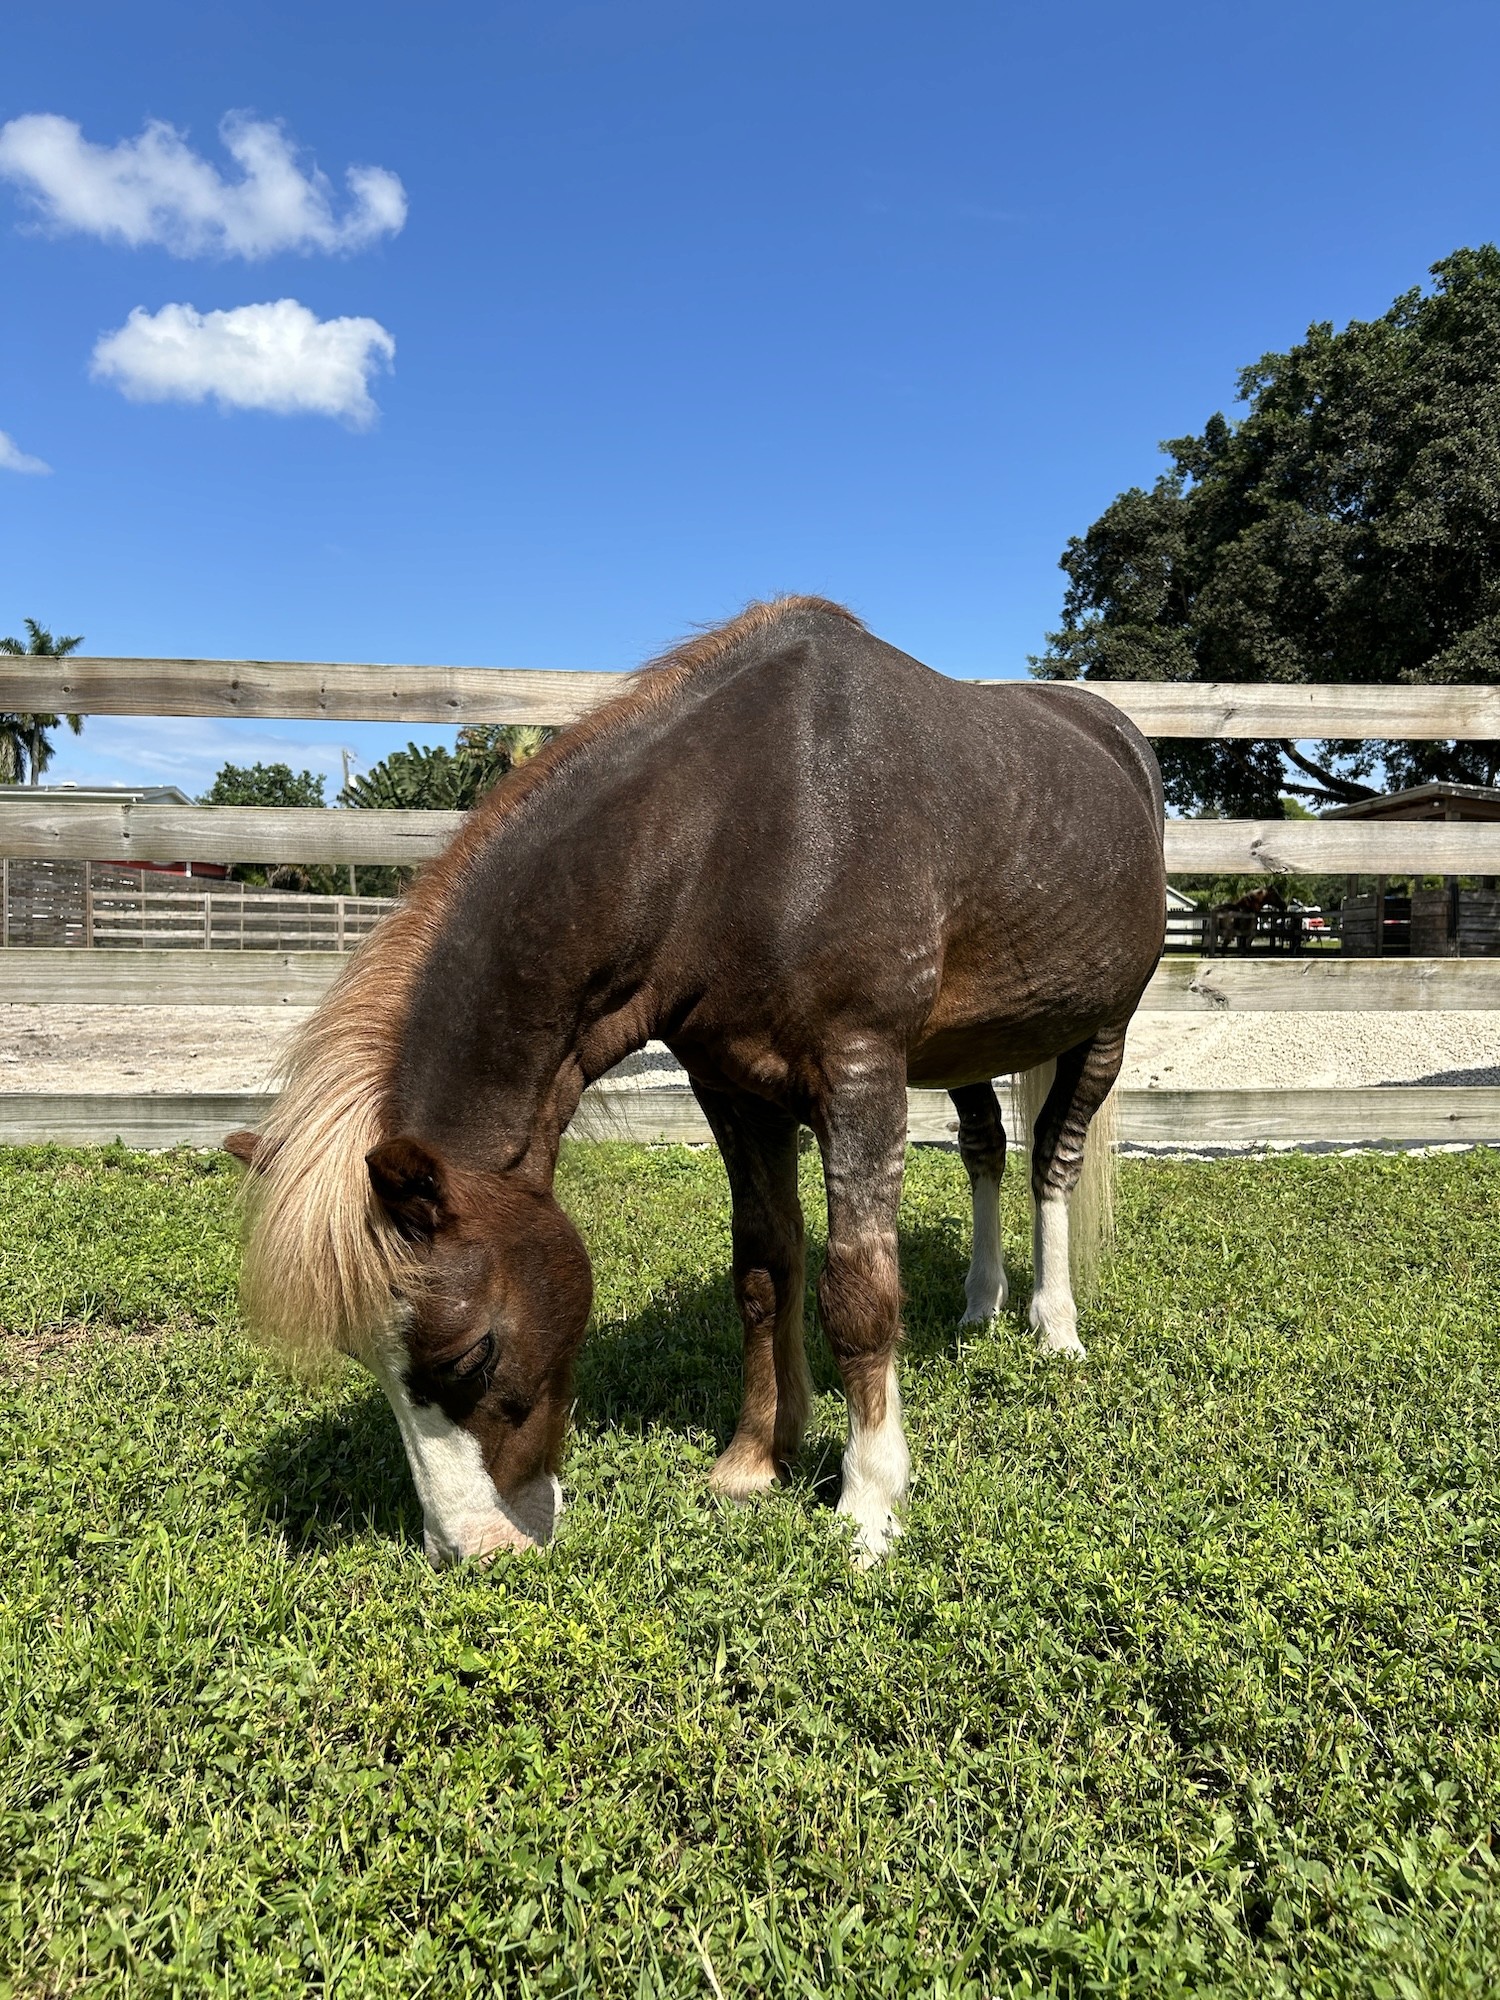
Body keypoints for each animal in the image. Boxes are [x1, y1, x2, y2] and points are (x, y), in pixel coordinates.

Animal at [227, 598, 1165, 1566]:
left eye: (471, 1355)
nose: (469, 1550)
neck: (742, 830)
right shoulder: (733, 1086)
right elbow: (762, 1267)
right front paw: (756, 1459)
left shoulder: (862, 1072)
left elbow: (858, 1291)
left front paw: (869, 1503)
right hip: (964, 1050)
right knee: (985, 1147)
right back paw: (982, 1306)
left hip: (1105, 1029)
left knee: (1052, 1160)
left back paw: (1053, 1326)